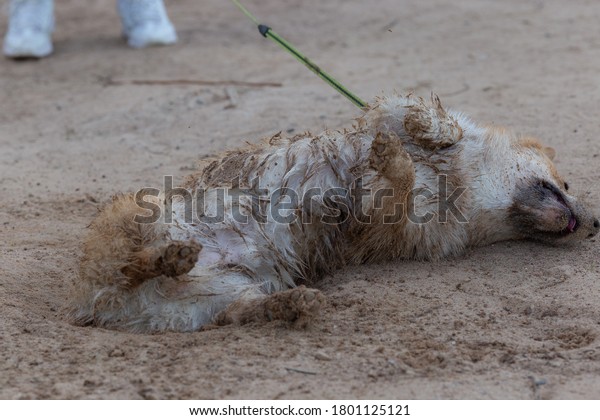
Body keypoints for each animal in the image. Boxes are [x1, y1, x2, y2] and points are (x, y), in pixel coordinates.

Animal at [68, 94, 596, 332]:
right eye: (568, 183)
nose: (593, 226)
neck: (465, 187)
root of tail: (109, 308)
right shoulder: (391, 120)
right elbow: (428, 120)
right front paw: (417, 140)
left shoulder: (396, 225)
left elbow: (401, 183)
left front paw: (397, 160)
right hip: (133, 219)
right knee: (129, 262)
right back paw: (172, 256)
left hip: (221, 294)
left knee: (236, 310)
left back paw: (292, 302)